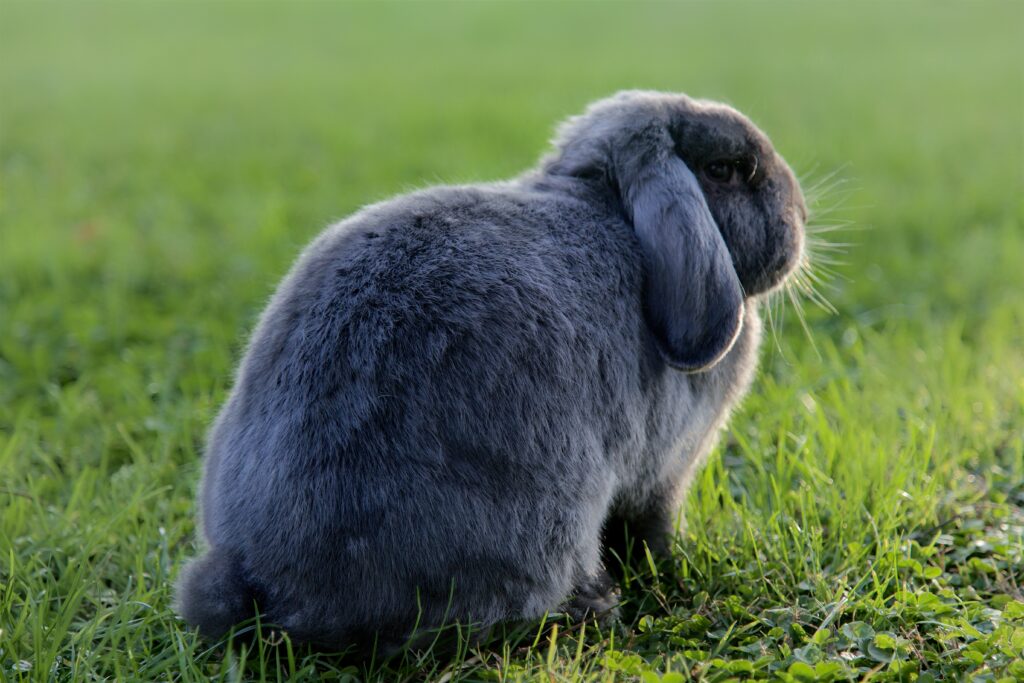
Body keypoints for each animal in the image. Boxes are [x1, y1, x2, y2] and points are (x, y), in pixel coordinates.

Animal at [176, 89, 806, 651]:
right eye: (727, 170)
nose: (799, 213)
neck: (611, 211)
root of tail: (273, 582)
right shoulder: (663, 474)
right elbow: (650, 535)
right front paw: (667, 576)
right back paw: (595, 606)